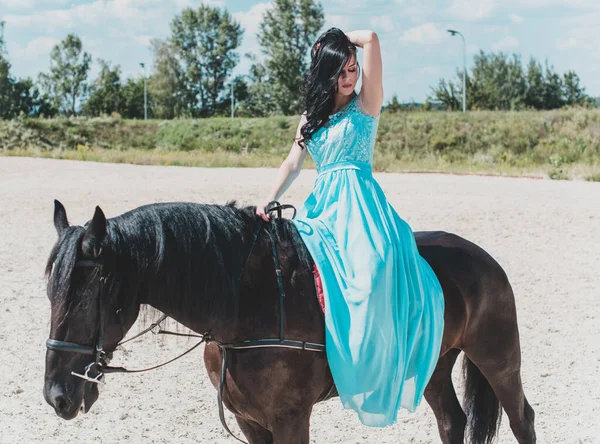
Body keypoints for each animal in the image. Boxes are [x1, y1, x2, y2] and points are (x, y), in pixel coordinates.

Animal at [44, 201, 536, 444]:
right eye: (50, 293)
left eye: (86, 296)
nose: (56, 396)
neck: (247, 308)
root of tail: (480, 256)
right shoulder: (250, 422)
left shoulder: (290, 419)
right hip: (433, 366)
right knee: (452, 422)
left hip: (498, 359)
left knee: (521, 419)